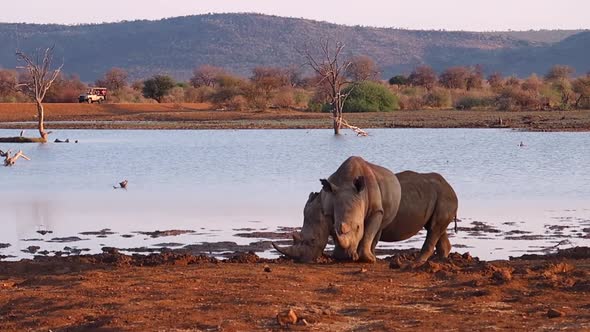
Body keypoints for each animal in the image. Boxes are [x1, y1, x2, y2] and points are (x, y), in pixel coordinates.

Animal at [276, 170, 460, 264]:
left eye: (313, 241)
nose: (302, 261)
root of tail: (450, 186)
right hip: (437, 195)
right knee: (435, 228)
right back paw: (440, 261)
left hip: (445, 196)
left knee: (434, 228)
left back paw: (416, 264)